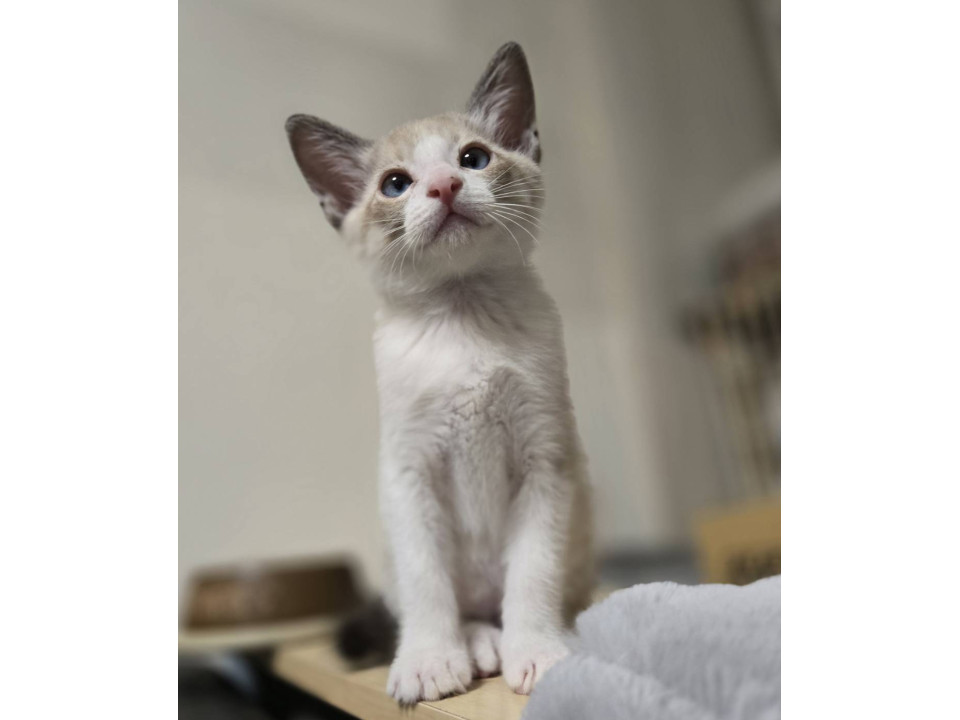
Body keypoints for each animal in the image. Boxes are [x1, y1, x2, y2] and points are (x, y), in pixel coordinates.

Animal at [285, 42, 594, 705]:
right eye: (395, 184)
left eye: (473, 158)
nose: (444, 185)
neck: (463, 316)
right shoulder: (408, 472)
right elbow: (427, 581)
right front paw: (430, 661)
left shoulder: (547, 460)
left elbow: (535, 571)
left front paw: (539, 652)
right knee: (460, 606)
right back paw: (474, 644)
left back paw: (526, 637)